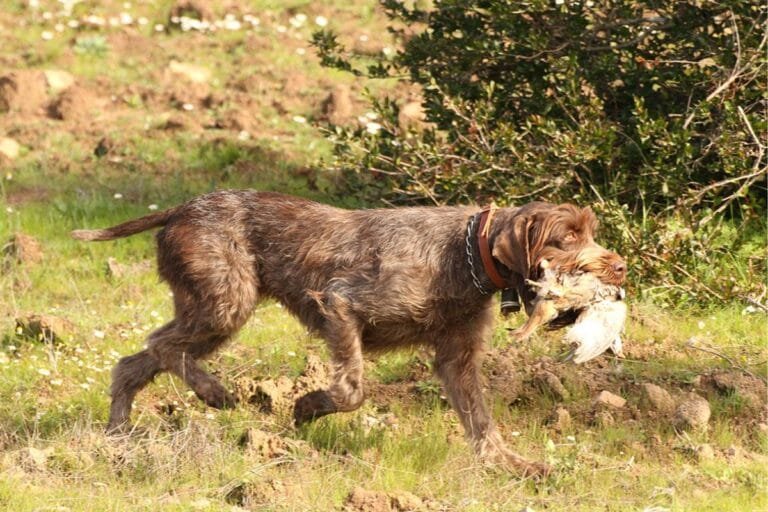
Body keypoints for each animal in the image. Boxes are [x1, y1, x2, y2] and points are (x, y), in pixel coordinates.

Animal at [70, 191, 624, 476]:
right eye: (566, 238)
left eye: (589, 233)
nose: (618, 267)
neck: (465, 255)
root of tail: (182, 207)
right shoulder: (339, 303)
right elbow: (352, 389)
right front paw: (306, 407)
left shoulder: (456, 360)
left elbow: (481, 422)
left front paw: (509, 464)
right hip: (225, 305)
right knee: (162, 346)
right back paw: (212, 393)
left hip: (210, 311)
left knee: (134, 360)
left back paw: (117, 437)